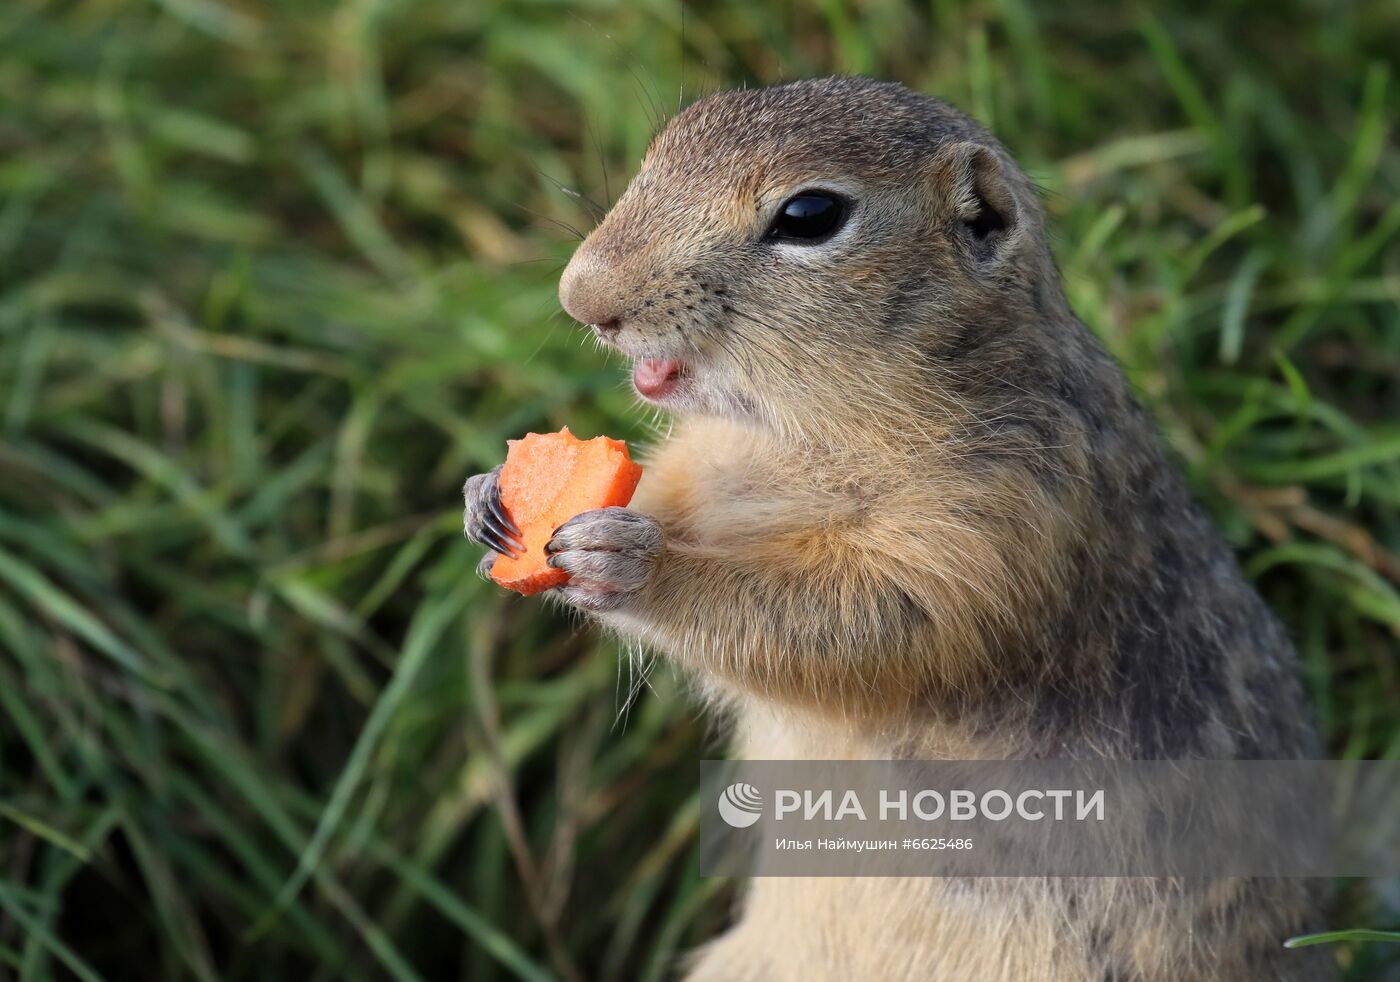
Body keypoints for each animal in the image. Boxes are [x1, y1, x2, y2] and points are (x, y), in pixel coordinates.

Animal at [464, 78, 1327, 980]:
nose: (581, 298)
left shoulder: (1003, 515)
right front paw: (488, 496)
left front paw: (629, 566)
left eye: (810, 215)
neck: (798, 435)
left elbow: (866, 625)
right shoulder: (704, 464)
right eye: (664, 144)